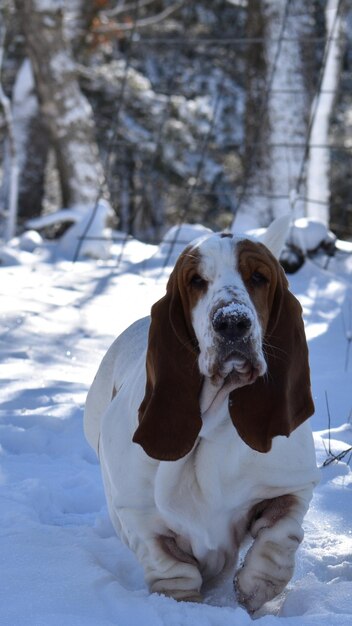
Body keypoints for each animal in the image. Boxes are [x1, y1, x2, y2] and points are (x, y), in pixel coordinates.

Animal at [84, 214, 320, 608]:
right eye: (196, 281)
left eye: (259, 277)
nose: (232, 322)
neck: (213, 423)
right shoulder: (139, 516)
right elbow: (171, 568)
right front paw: (184, 605)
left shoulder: (293, 485)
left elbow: (278, 536)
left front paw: (255, 588)